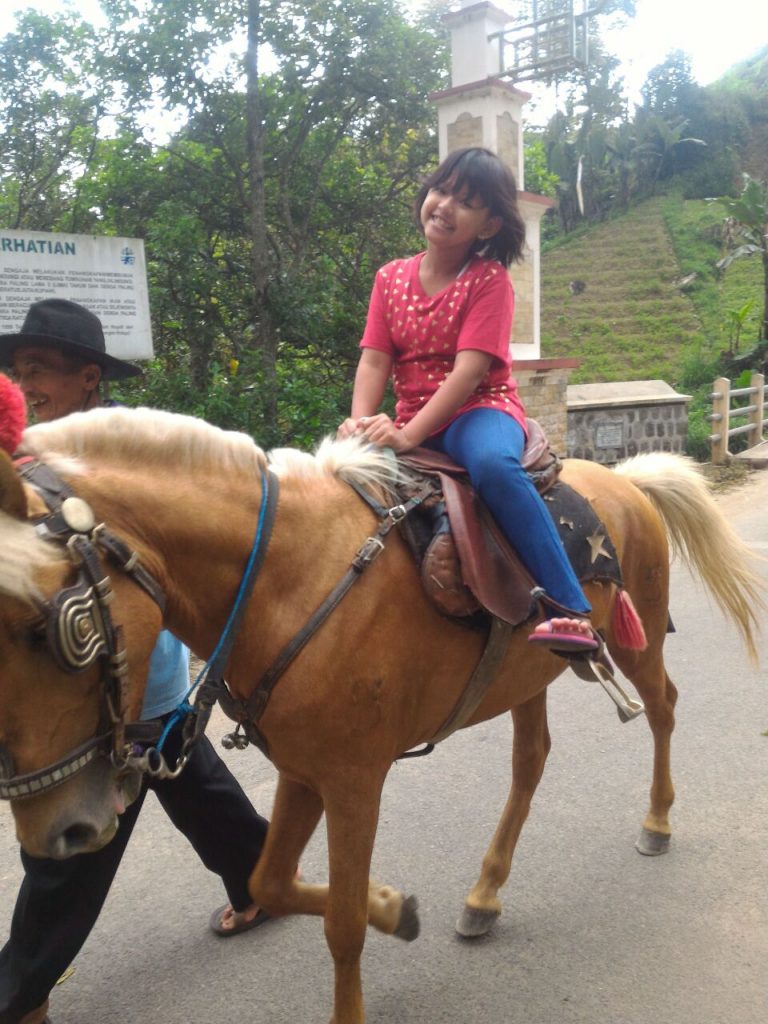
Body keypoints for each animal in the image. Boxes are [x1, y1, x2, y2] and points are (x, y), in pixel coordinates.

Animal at [0, 406, 763, 1024]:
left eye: (55, 629)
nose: (61, 832)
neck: (288, 577)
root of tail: (626, 482)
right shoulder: (303, 770)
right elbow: (270, 882)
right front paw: (396, 909)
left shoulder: (354, 780)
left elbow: (340, 923)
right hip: (528, 674)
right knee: (531, 760)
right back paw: (485, 894)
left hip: (638, 638)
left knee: (662, 708)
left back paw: (657, 821)